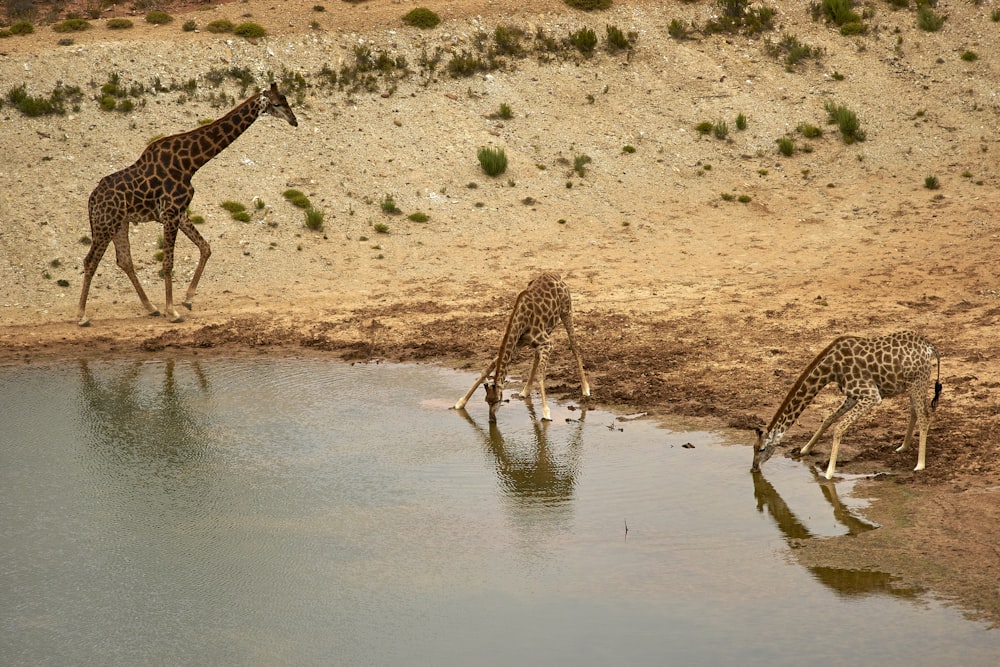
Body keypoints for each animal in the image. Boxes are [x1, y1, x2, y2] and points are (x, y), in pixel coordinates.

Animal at [74, 82, 296, 328]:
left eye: (286, 99)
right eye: (276, 103)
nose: (294, 120)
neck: (191, 163)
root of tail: (92, 199)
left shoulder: (179, 212)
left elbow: (205, 247)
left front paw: (187, 299)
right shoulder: (170, 212)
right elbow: (168, 263)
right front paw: (173, 311)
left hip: (120, 223)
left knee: (124, 260)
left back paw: (151, 307)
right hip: (105, 222)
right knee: (90, 261)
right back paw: (82, 316)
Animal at [456, 272, 588, 422]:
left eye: (497, 400)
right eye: (486, 401)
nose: (491, 420)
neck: (521, 321)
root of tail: (556, 276)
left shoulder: (548, 343)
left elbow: (541, 375)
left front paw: (546, 413)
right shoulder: (519, 343)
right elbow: (487, 368)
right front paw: (461, 402)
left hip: (566, 311)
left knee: (574, 345)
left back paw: (585, 389)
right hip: (546, 330)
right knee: (537, 355)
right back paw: (525, 391)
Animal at [752, 330, 940, 480]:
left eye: (761, 449)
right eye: (753, 447)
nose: (754, 468)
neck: (831, 368)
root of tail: (929, 347)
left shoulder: (871, 395)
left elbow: (839, 428)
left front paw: (829, 473)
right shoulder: (853, 395)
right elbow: (828, 419)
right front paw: (805, 449)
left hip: (919, 381)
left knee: (924, 417)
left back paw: (920, 464)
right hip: (912, 383)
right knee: (915, 412)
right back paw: (903, 447)